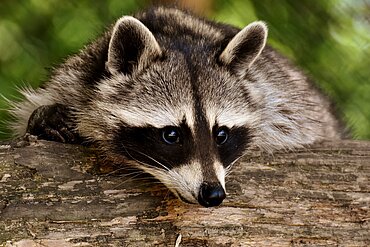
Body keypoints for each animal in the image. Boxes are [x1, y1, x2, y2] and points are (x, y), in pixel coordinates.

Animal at [8, 6, 342, 206]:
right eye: (171, 135)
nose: (213, 194)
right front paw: (46, 119)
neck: (175, 34)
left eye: (221, 134)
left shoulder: (281, 99)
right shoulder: (73, 79)